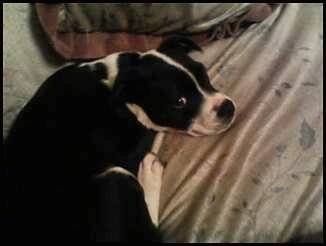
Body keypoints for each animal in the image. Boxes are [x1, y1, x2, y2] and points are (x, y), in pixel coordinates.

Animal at [3, 36, 236, 242]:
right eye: (179, 102)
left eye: (202, 73)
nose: (227, 108)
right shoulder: (123, 151)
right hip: (112, 178)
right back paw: (149, 173)